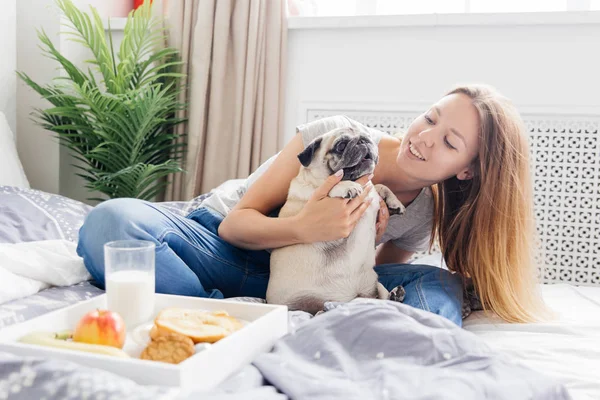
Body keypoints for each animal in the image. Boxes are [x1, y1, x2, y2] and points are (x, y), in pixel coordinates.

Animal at [268, 126, 406, 314]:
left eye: (367, 136)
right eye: (341, 146)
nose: (363, 141)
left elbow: (379, 186)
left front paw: (394, 203)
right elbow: (329, 185)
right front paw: (347, 186)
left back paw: (394, 295)